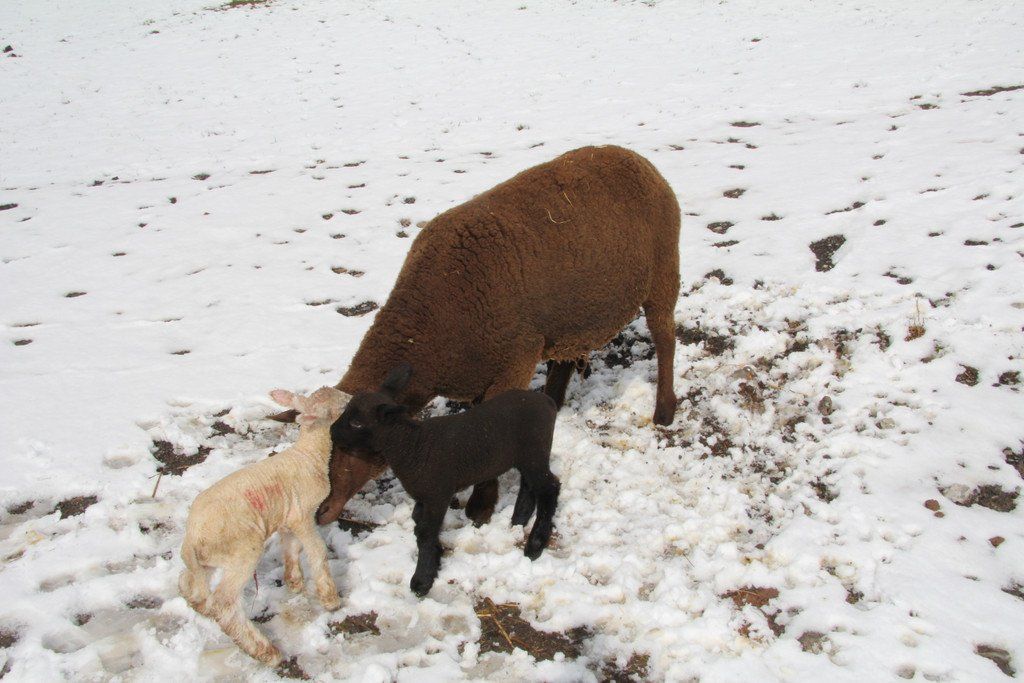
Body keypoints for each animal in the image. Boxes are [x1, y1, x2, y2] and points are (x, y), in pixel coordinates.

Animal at [178, 387, 349, 666]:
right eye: (336, 405)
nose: (351, 396)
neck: (309, 454)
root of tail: (191, 538)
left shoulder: (288, 517)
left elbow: (292, 549)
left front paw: (294, 583)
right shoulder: (303, 514)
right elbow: (317, 552)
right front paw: (330, 600)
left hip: (207, 560)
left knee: (187, 579)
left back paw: (200, 607)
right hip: (242, 552)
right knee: (224, 603)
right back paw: (265, 651)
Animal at [291, 144, 680, 527]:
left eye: (349, 443)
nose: (320, 512)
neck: (433, 329)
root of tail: (633, 157)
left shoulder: (516, 358)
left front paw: (481, 506)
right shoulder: (481, 371)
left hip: (663, 272)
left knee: (666, 340)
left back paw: (664, 410)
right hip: (568, 318)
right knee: (566, 359)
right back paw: (553, 403)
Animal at [331, 364, 560, 597]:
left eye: (357, 423)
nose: (332, 432)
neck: (412, 446)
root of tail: (547, 402)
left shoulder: (437, 494)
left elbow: (425, 533)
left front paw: (422, 581)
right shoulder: (423, 497)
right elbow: (419, 525)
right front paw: (436, 557)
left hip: (534, 451)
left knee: (549, 487)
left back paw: (535, 544)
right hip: (526, 456)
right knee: (530, 485)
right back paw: (519, 520)